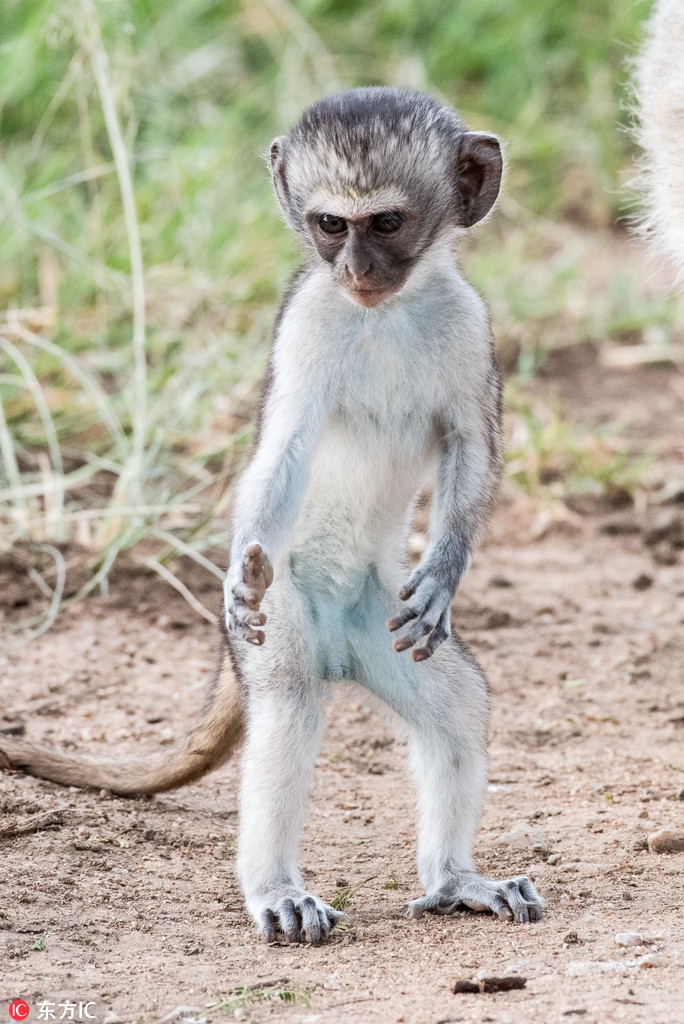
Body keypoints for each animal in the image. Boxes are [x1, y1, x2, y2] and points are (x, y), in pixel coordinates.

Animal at [1, 90, 544, 942]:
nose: (355, 271)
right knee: (287, 704)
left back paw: (455, 878)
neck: (386, 312)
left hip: (376, 621)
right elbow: (283, 450)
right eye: (330, 224)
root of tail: (339, 651)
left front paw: (444, 572)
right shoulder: (306, 322)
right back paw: (275, 888)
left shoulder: (470, 325)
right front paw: (237, 570)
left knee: (457, 706)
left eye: (386, 223)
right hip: (283, 621)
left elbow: (472, 445)